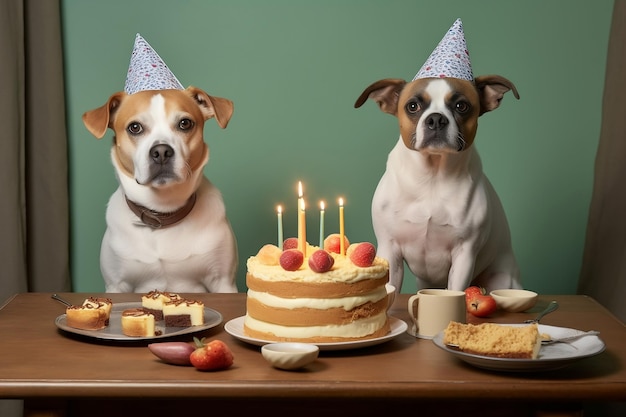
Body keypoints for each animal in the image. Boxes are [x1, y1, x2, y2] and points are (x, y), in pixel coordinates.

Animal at [82, 86, 236, 290]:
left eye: (185, 123)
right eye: (135, 127)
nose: (161, 151)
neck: (162, 210)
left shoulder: (223, 282)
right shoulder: (116, 284)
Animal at [356, 75, 520, 292]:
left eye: (461, 106)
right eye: (413, 106)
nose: (436, 119)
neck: (432, 177)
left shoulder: (464, 256)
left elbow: (455, 291)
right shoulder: (390, 249)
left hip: (501, 280)